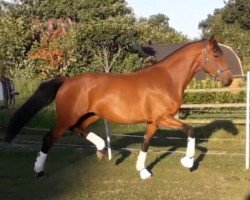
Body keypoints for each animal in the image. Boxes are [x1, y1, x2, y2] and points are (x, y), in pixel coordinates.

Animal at [2, 35, 232, 180]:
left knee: (79, 129)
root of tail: (67, 81)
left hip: (90, 115)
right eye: (216, 55)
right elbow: (190, 131)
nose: (229, 79)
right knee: (49, 138)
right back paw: (39, 171)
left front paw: (143, 171)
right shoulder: (163, 117)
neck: (167, 79)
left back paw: (102, 149)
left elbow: (145, 144)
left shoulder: (153, 121)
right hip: (67, 117)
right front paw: (188, 162)